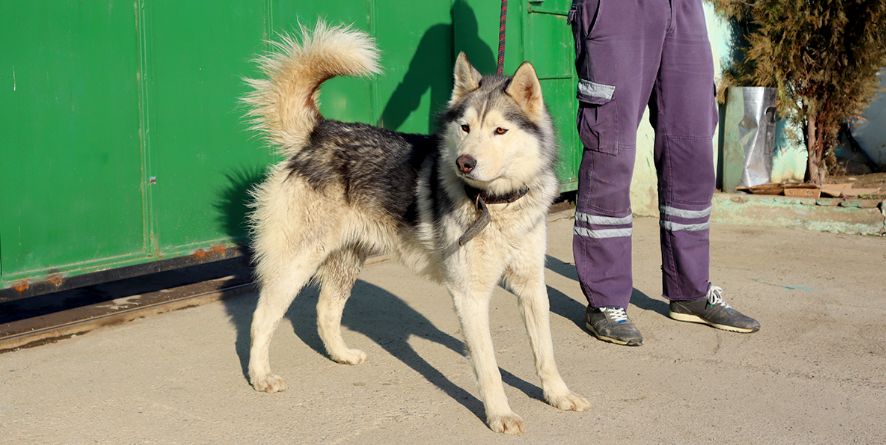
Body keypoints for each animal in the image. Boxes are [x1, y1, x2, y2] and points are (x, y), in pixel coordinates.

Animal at [243, 22, 588, 432]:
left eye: (500, 131)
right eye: (465, 127)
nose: (464, 162)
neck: (496, 204)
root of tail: (319, 133)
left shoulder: (531, 285)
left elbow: (545, 352)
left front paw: (559, 394)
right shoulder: (470, 296)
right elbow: (489, 367)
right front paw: (500, 413)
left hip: (347, 259)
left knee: (326, 311)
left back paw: (341, 355)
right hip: (296, 263)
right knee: (262, 318)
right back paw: (260, 376)